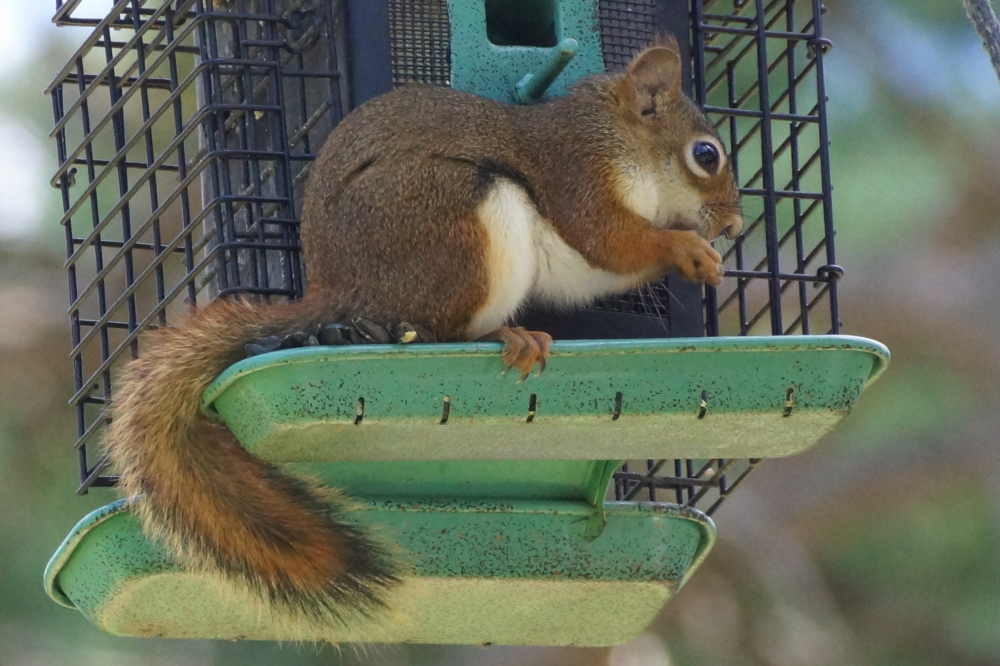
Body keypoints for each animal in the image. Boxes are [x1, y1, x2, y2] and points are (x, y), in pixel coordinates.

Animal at [104, 38, 743, 623]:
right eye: (706, 154)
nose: (735, 224)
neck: (621, 140)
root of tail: (343, 292)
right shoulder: (578, 170)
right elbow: (606, 238)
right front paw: (686, 248)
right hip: (459, 215)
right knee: (440, 328)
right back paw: (505, 337)